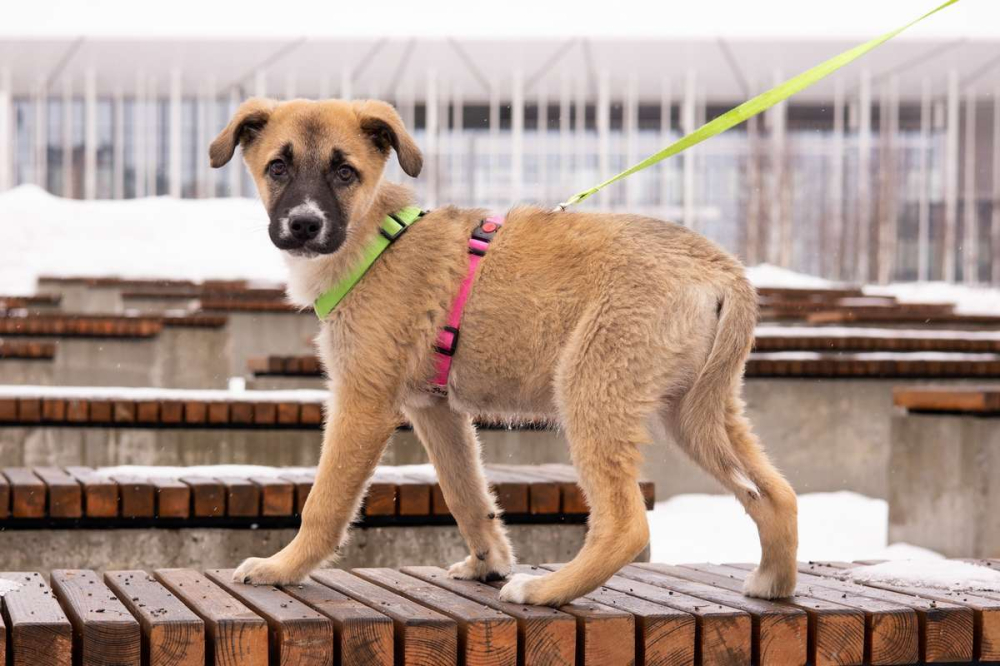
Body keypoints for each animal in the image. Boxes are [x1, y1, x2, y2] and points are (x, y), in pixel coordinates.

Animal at [210, 97, 798, 606]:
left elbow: (325, 500)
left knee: (627, 523)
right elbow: (466, 494)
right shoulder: (436, 410)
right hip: (699, 410)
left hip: (593, 388)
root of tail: (721, 270)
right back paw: (774, 582)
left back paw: (546, 590)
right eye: (278, 167)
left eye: (345, 172)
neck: (376, 241)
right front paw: (488, 562)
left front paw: (284, 567)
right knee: (774, 493)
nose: (304, 225)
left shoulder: (363, 402)